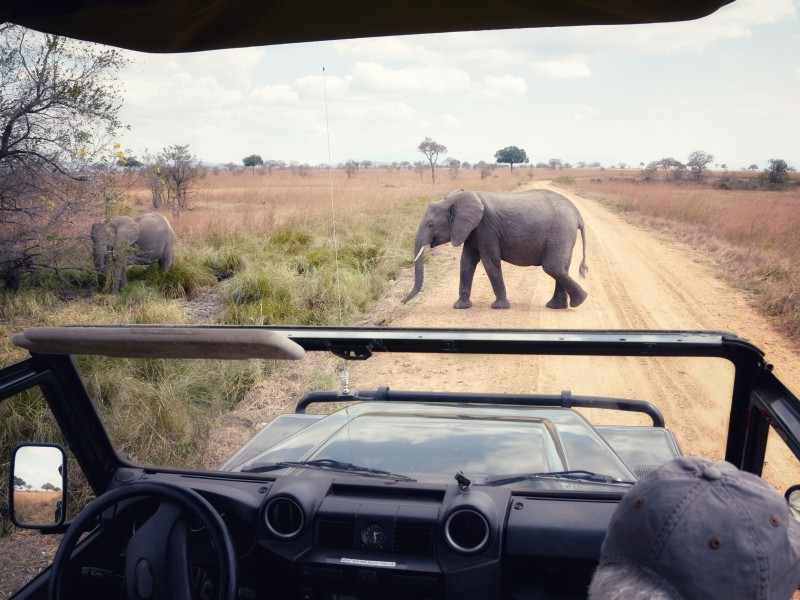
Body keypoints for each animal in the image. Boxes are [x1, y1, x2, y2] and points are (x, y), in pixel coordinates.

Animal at [401, 188, 588, 309]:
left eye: (430, 224)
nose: (402, 302)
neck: (453, 200)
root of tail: (578, 215)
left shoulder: (485, 227)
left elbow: (489, 261)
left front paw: (499, 307)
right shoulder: (472, 230)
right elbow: (466, 262)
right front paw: (460, 307)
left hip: (561, 232)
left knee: (552, 267)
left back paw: (579, 301)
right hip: (564, 235)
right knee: (561, 267)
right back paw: (557, 306)